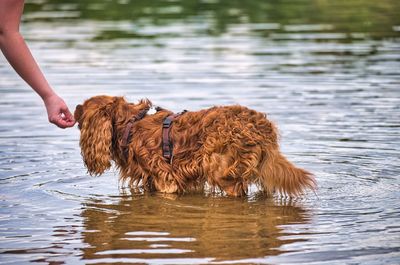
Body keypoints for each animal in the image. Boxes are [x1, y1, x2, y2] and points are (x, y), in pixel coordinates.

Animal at [73, 95, 314, 196]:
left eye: (83, 108)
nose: (73, 108)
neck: (130, 125)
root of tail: (262, 127)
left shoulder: (166, 181)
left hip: (222, 172)